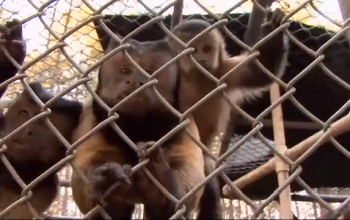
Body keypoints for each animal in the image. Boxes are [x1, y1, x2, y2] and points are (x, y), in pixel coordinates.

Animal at [71, 36, 206, 218]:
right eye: (126, 71)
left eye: (149, 71)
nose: (136, 81)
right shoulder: (91, 119)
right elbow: (84, 166)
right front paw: (109, 190)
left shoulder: (185, 123)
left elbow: (191, 173)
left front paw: (158, 186)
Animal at [170, 7, 290, 219]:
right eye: (192, 50)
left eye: (206, 48)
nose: (201, 59)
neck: (196, 78)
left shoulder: (225, 72)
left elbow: (259, 72)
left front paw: (274, 32)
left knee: (208, 186)